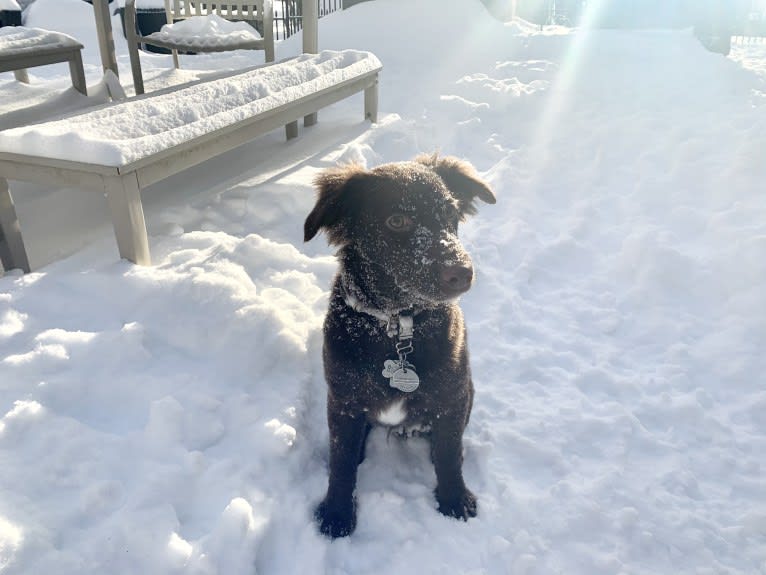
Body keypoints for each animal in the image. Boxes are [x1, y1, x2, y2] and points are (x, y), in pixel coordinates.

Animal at [306, 154, 498, 540]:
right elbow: (341, 460)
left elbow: (450, 453)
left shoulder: (452, 397)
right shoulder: (343, 401)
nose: (463, 273)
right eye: (397, 220)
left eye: (451, 215)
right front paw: (337, 512)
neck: (398, 326)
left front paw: (454, 498)